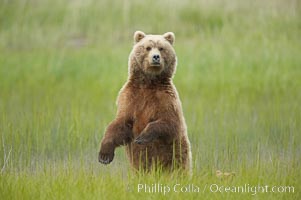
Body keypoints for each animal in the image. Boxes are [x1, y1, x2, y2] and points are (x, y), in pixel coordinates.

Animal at [99, 31, 192, 172]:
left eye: (161, 48)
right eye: (148, 47)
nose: (155, 57)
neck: (149, 83)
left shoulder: (166, 98)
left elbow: (170, 122)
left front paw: (142, 137)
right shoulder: (130, 97)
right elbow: (120, 123)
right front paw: (104, 155)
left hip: (176, 156)